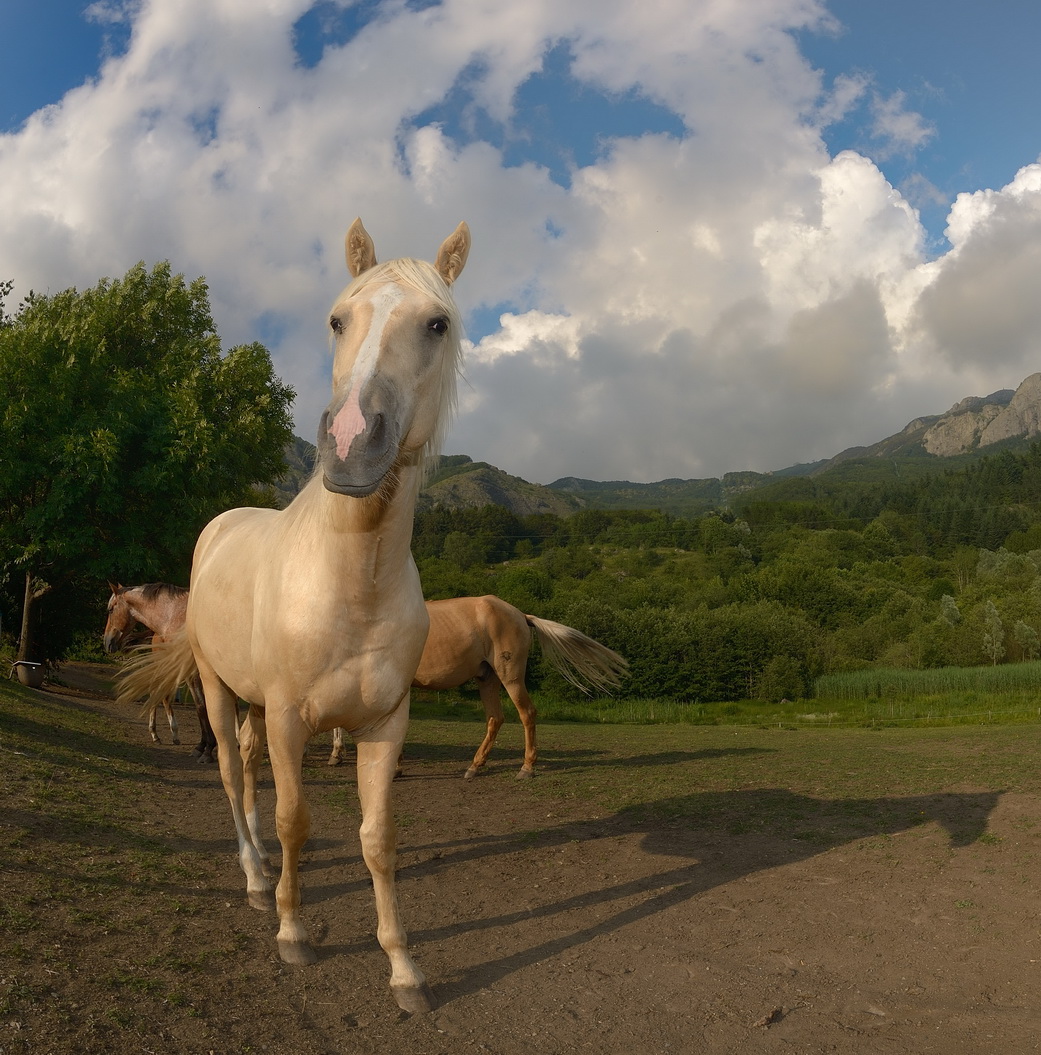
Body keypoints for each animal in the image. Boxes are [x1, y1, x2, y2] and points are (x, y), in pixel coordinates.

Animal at [102, 582, 216, 763]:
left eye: (110, 609)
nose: (107, 642)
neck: (172, 614)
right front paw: (204, 746)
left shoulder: (193, 672)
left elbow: (202, 706)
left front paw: (207, 749)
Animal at [117, 216, 468, 1012]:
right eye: (337, 318)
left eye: (437, 323)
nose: (350, 442)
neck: (350, 585)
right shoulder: (287, 718)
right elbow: (294, 819)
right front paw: (292, 931)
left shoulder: (385, 724)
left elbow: (377, 838)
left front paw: (403, 967)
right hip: (221, 693)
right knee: (231, 775)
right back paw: (254, 878)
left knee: (246, 773)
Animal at [329, 599, 632, 780]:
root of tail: (520, 615)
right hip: (487, 680)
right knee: (495, 719)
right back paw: (475, 766)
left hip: (510, 678)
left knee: (527, 714)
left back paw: (526, 768)